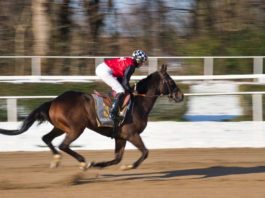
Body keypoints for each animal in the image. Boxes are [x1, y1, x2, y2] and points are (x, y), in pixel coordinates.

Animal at [0, 64, 183, 170]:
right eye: (171, 81)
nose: (180, 96)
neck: (139, 102)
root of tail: (54, 101)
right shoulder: (132, 134)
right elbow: (145, 152)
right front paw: (129, 166)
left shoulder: (121, 136)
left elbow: (117, 158)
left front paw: (100, 165)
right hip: (76, 128)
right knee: (63, 145)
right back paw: (83, 162)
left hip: (60, 126)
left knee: (46, 138)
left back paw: (57, 159)